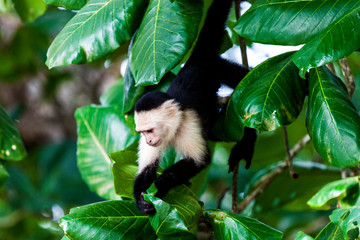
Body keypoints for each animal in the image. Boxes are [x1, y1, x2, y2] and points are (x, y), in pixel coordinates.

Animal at [132, 0, 256, 214]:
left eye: (150, 130)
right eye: (142, 133)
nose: (148, 140)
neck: (173, 128)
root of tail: (196, 60)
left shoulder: (188, 125)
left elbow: (199, 161)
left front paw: (164, 182)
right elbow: (146, 170)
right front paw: (141, 202)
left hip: (218, 67)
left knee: (247, 85)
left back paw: (248, 138)